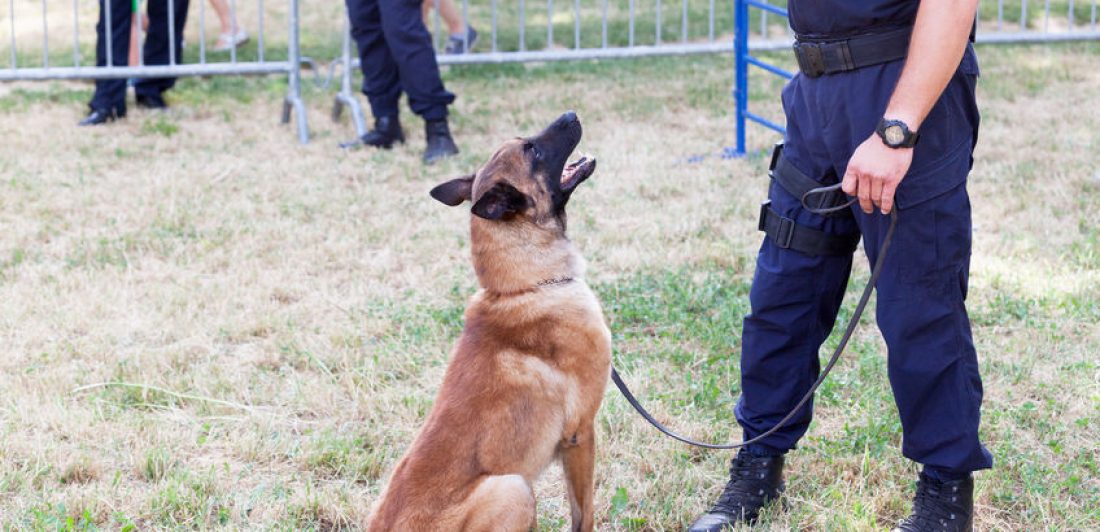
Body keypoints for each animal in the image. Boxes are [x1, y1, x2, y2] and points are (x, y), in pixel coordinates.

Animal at [367, 113, 611, 532]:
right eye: (532, 149)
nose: (570, 115)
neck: (522, 287)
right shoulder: (580, 433)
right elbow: (584, 515)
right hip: (513, 487)